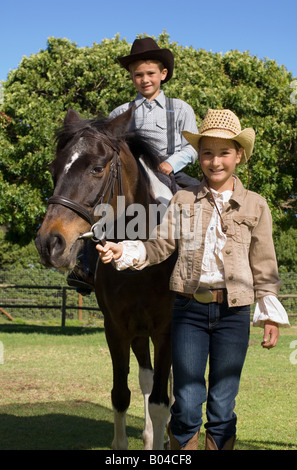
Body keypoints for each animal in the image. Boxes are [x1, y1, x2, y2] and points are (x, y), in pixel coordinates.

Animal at [36, 108, 177, 450]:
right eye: (54, 169)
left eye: (97, 169)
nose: (48, 243)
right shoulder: (116, 329)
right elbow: (121, 394)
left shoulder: (166, 330)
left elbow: (160, 401)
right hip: (138, 334)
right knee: (147, 378)